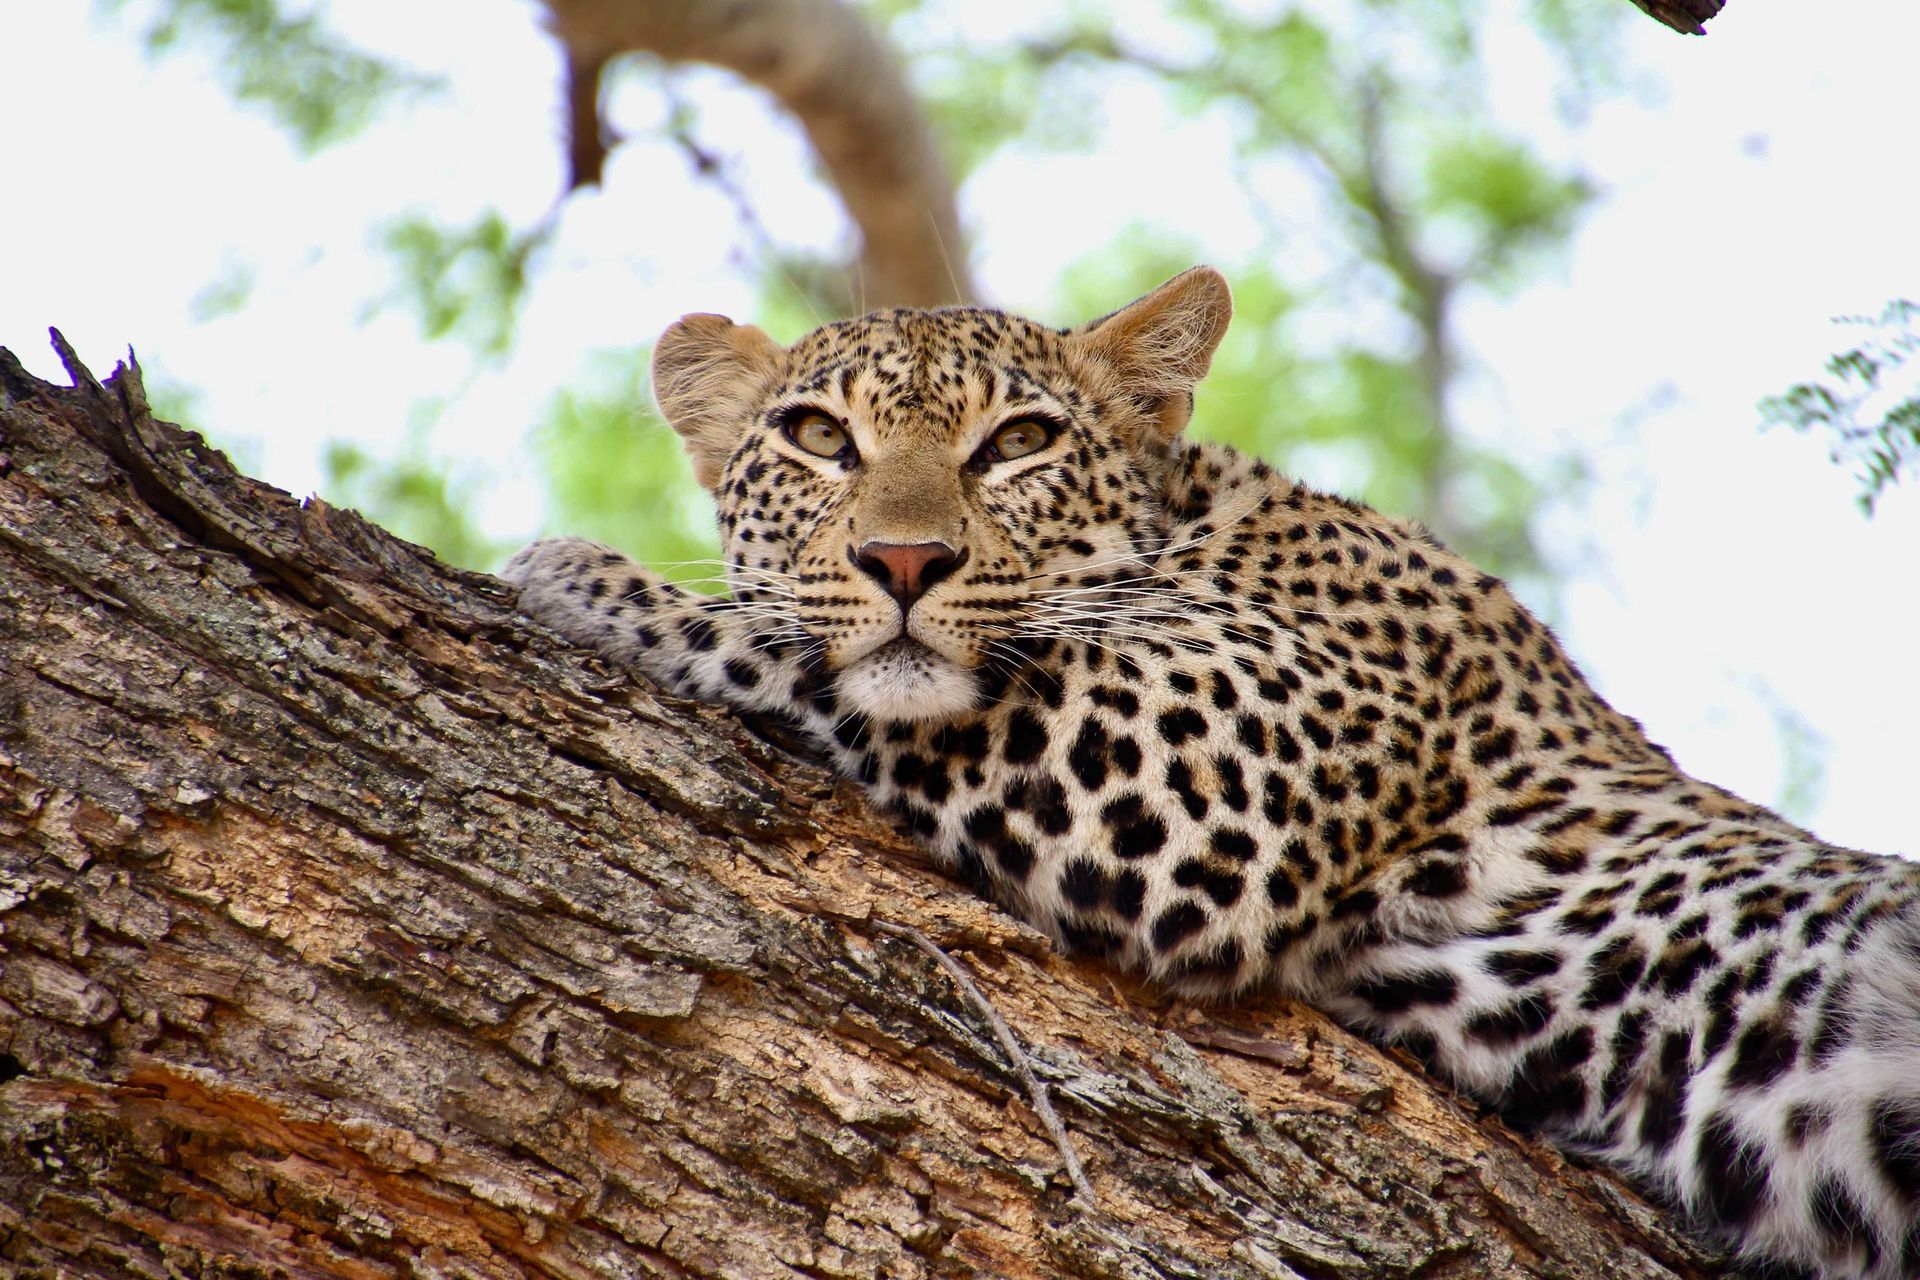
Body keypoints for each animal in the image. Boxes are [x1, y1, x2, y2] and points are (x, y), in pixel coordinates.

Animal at [504, 268, 1920, 1278]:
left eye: (1017, 441)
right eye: (814, 437)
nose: (904, 562)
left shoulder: (1212, 757)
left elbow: (844, 667)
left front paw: (582, 575)